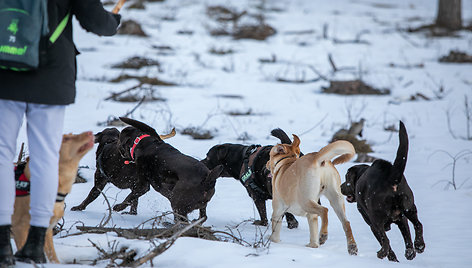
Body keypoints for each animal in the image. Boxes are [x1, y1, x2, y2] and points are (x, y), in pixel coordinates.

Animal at [340, 121, 424, 262]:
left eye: (347, 179)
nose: (341, 187)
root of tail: (390, 178)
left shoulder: (372, 224)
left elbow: (385, 241)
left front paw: (392, 258)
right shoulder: (402, 219)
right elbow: (407, 236)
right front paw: (409, 253)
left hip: (376, 219)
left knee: (386, 240)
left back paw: (381, 253)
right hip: (409, 207)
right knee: (418, 224)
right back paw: (419, 246)